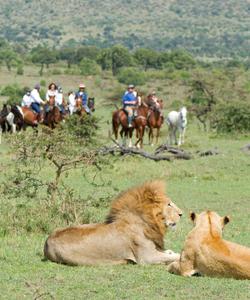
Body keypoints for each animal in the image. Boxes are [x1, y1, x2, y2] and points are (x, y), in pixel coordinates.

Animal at [44, 180, 182, 264]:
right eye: (169, 204)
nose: (181, 214)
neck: (148, 222)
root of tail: (47, 241)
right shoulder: (146, 257)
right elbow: (177, 256)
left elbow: (170, 252)